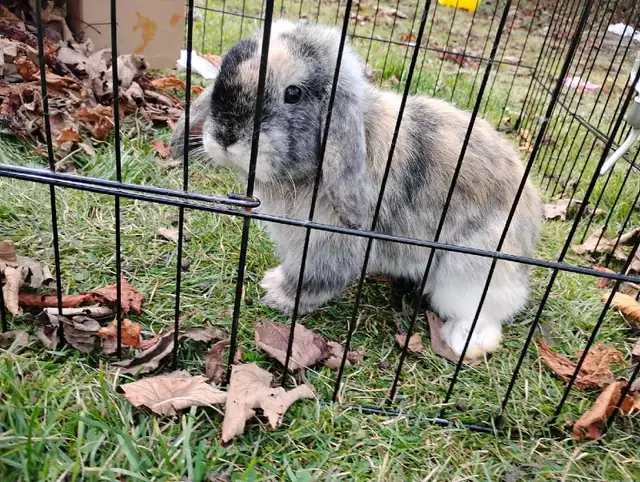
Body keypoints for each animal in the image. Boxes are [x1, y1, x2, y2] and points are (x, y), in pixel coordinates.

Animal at [169, 20, 542, 360]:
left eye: (293, 93)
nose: (225, 136)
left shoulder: (330, 245)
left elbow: (312, 278)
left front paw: (277, 294)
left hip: (468, 274)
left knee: (489, 314)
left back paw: (464, 340)